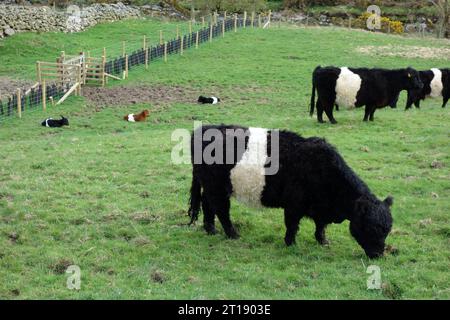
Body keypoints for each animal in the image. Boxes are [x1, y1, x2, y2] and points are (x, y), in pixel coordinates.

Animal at [187, 124, 394, 258]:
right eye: (369, 227)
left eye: (387, 230)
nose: (378, 254)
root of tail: (202, 130)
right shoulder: (294, 204)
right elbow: (293, 225)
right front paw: (290, 243)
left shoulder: (319, 207)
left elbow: (320, 226)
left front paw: (323, 241)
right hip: (217, 186)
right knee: (221, 210)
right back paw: (233, 234)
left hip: (211, 185)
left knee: (208, 204)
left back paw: (210, 229)